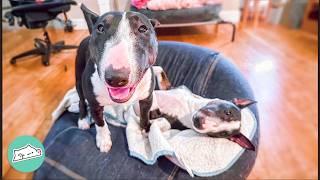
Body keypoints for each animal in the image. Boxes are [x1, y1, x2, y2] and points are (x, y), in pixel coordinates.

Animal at [75, 4, 160, 152]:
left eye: (143, 28)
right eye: (100, 28)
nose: (116, 78)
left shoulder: (147, 98)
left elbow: (144, 115)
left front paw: (145, 130)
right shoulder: (94, 104)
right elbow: (100, 123)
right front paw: (103, 141)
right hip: (79, 78)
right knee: (81, 99)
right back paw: (83, 119)